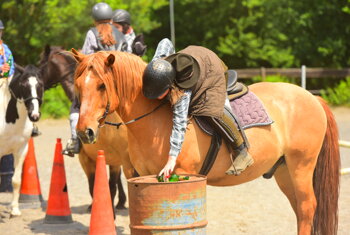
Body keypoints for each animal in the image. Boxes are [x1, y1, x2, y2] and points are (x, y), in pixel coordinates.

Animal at [0, 64, 43, 217]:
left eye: (41, 84)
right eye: (23, 85)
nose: (34, 115)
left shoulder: (21, 149)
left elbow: (16, 180)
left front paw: (15, 209)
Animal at [37, 46, 132, 209]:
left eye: (42, 65)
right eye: (78, 86)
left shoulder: (116, 161)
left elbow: (110, 188)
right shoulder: (88, 161)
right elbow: (96, 188)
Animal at [72, 48, 340, 234]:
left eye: (101, 86)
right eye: (77, 86)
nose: (85, 132)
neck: (156, 117)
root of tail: (312, 98)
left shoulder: (181, 174)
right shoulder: (138, 174)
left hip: (301, 167)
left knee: (307, 207)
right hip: (284, 172)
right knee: (300, 210)